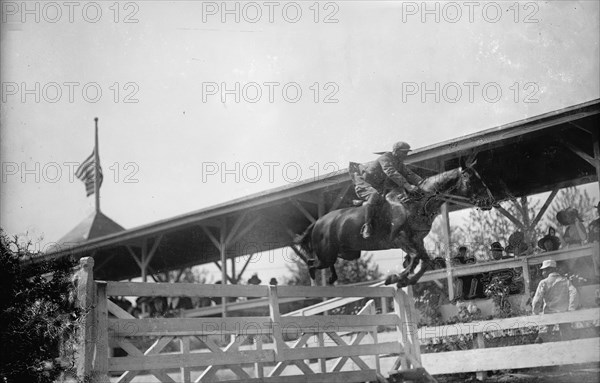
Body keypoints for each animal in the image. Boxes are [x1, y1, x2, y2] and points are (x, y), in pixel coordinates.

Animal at [292, 159, 490, 288]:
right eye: (473, 179)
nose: (489, 200)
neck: (415, 204)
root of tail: (318, 222)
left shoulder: (417, 240)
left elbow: (425, 261)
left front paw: (405, 280)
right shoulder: (399, 239)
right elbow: (415, 258)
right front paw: (395, 278)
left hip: (348, 253)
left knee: (324, 263)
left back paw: (332, 279)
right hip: (327, 253)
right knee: (311, 262)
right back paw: (317, 282)